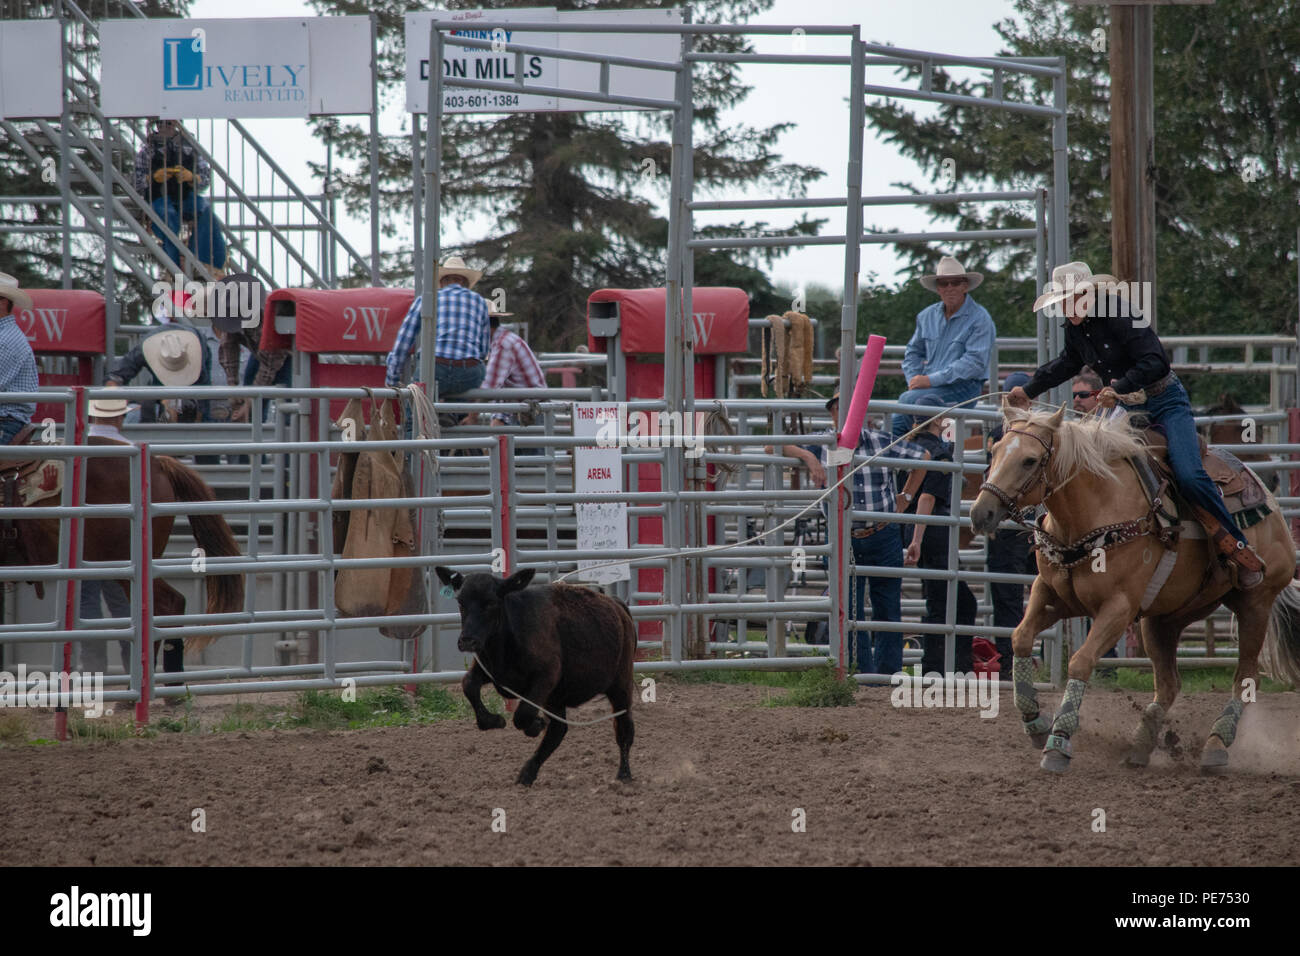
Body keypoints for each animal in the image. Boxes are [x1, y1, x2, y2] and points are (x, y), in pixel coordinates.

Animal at [972, 400, 1300, 775]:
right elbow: (1020, 638)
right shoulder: (1051, 595)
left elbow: (1081, 662)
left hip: (1255, 604)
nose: (981, 513)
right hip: (1164, 619)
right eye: (996, 450)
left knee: (1246, 678)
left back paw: (1215, 745)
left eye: (1029, 460)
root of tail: (1271, 501)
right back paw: (1141, 745)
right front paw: (1035, 723)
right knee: (1169, 684)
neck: (1093, 511)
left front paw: (1058, 742)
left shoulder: (1118, 607)